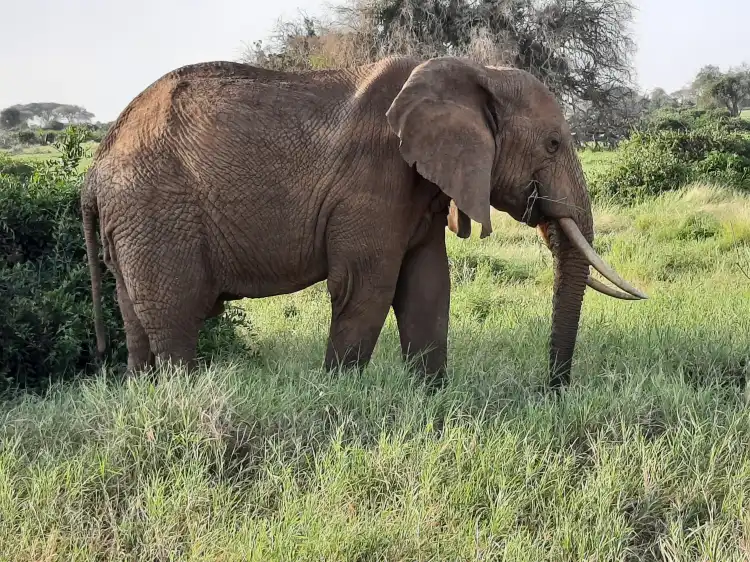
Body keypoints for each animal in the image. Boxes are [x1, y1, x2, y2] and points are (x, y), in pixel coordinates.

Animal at [81, 55, 648, 390]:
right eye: (552, 144)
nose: (552, 391)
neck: (470, 71)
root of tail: (95, 168)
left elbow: (428, 286)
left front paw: (432, 402)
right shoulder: (373, 183)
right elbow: (367, 288)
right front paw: (341, 399)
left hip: (134, 223)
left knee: (136, 320)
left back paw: (143, 398)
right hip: (157, 213)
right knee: (175, 318)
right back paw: (184, 399)